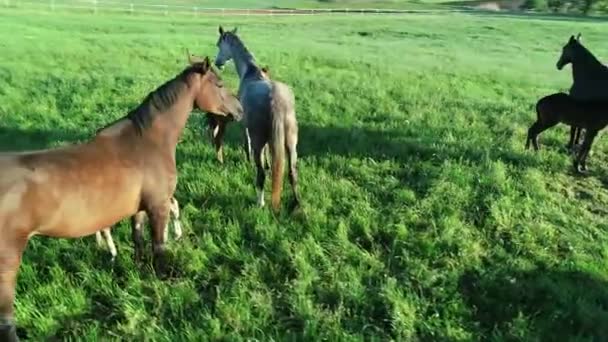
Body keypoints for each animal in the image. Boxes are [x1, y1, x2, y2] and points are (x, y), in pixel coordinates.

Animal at [0, 55, 241, 340]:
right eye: (219, 83)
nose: (240, 109)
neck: (147, 141)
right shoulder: (158, 206)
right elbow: (159, 245)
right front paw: (164, 279)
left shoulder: (139, 208)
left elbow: (138, 239)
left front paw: (139, 270)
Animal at [213, 25, 300, 211]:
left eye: (219, 44)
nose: (218, 63)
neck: (250, 71)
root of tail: (275, 100)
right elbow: (268, 152)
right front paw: (268, 163)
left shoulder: (245, 126)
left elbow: (247, 145)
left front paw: (248, 162)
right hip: (291, 143)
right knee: (292, 172)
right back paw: (297, 204)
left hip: (258, 139)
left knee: (261, 174)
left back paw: (259, 202)